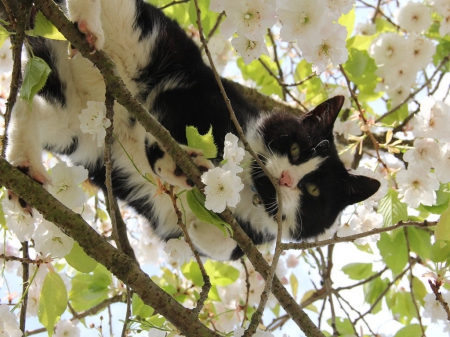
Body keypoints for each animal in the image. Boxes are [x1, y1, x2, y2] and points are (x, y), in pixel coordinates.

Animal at [5, 0, 382, 260]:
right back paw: (86, 24)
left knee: (26, 107)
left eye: (314, 191)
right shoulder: (195, 95)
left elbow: (221, 244)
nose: (288, 180)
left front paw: (198, 203)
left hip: (73, 123)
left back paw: (25, 168)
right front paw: (177, 164)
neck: (250, 187)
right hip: (141, 37)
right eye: (294, 149)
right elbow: (165, 128)